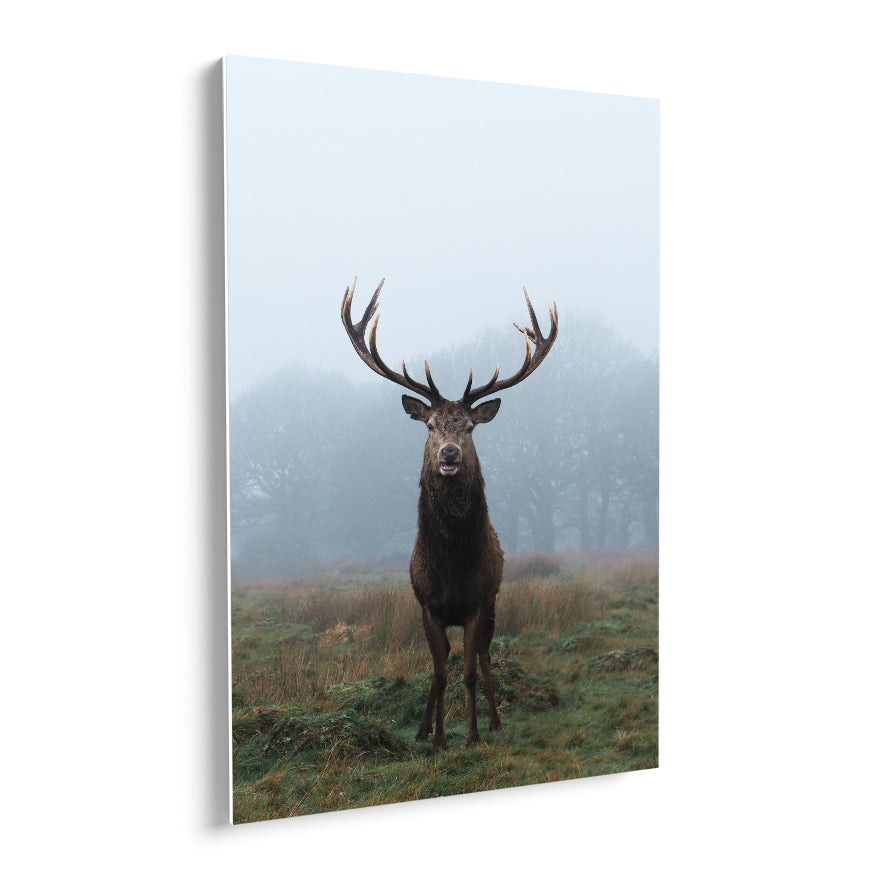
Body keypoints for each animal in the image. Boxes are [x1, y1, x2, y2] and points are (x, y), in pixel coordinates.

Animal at [341, 277, 558, 750]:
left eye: (470, 428)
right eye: (429, 426)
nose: (449, 455)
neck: (454, 566)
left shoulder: (478, 602)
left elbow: (471, 671)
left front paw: (473, 734)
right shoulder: (427, 606)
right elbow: (440, 673)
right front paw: (439, 739)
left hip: (495, 603)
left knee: (486, 656)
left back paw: (494, 722)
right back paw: (423, 729)